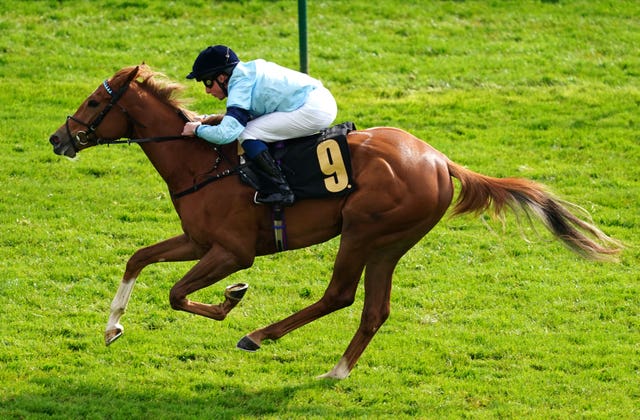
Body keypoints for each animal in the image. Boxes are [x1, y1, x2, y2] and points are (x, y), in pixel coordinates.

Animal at [48, 65, 620, 380]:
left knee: (340, 296)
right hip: (389, 243)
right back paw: (337, 371)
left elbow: (177, 294)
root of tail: (440, 161)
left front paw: (232, 299)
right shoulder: (196, 239)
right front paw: (112, 326)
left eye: (95, 102)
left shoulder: (233, 250)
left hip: (364, 231)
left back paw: (258, 335)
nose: (58, 138)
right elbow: (138, 258)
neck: (200, 162)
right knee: (374, 310)